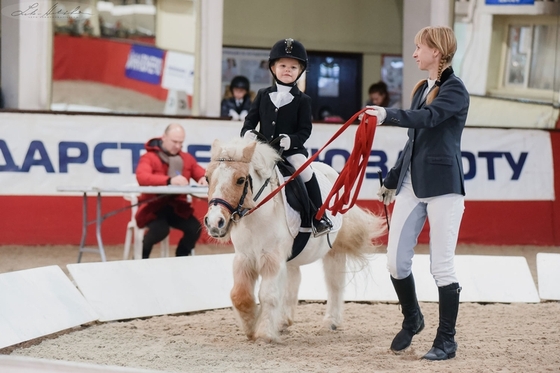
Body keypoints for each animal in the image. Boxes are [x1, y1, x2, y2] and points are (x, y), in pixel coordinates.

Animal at [205, 138, 384, 342]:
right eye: (207, 178)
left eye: (240, 180)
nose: (214, 222)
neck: (256, 215)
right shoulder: (244, 258)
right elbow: (239, 295)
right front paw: (251, 327)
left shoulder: (271, 258)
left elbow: (268, 294)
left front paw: (265, 333)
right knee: (293, 281)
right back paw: (283, 321)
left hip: (334, 251)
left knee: (334, 284)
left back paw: (330, 322)